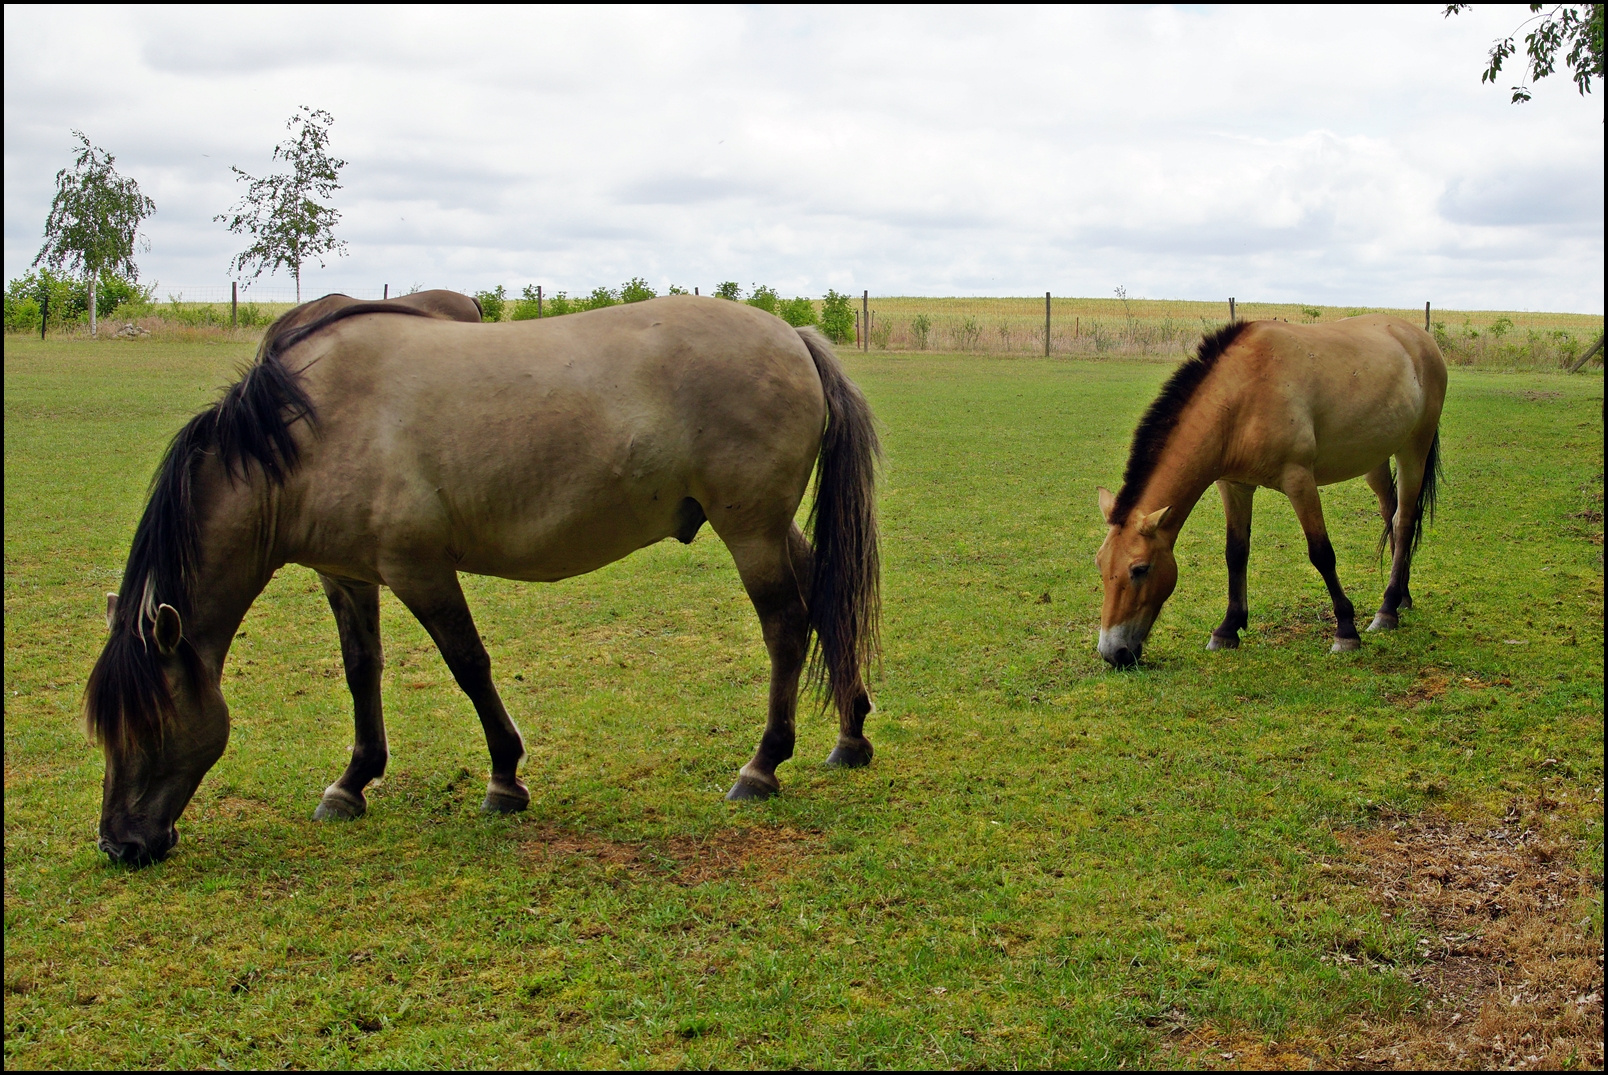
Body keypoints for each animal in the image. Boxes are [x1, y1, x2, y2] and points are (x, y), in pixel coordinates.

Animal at [84, 294, 881, 861]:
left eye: (148, 722)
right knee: (826, 600)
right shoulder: (346, 576)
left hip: (749, 531)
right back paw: (850, 737)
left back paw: (763, 766)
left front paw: (504, 778)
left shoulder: (419, 568)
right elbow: (362, 670)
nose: (121, 843)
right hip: (770, 529)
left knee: (786, 626)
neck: (311, 427)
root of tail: (794, 336)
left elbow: (468, 664)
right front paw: (352, 783)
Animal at [1093, 311, 1447, 662]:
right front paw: (1227, 629)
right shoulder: (1233, 485)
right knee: (1391, 513)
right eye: (1100, 564)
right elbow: (1235, 553)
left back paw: (1387, 610)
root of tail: (1420, 338)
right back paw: (1402, 598)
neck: (1243, 394)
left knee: (1403, 522)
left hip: (1413, 450)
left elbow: (1322, 553)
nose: (1113, 652)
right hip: (1375, 457)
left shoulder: (1299, 480)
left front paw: (1346, 631)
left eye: (1140, 569)